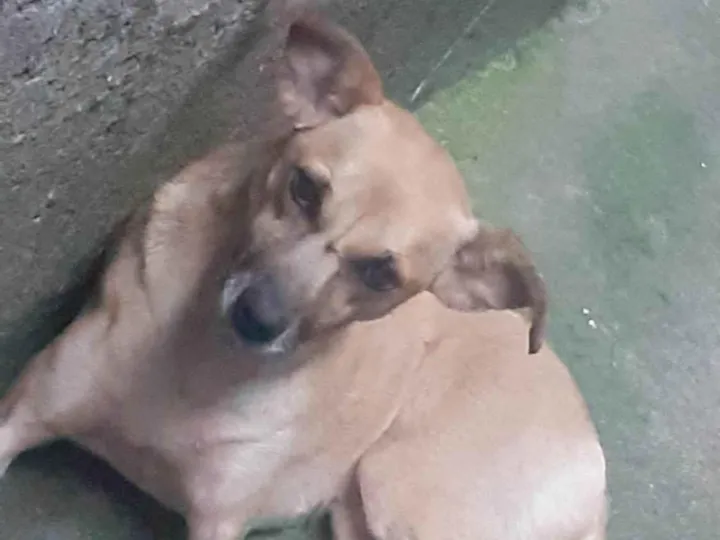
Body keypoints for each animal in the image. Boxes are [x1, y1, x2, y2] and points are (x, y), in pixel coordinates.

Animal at [0, 15, 606, 540]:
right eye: (305, 189)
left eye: (380, 273)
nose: (256, 318)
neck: (198, 362)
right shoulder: (23, 413)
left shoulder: (218, 522)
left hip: (405, 495)